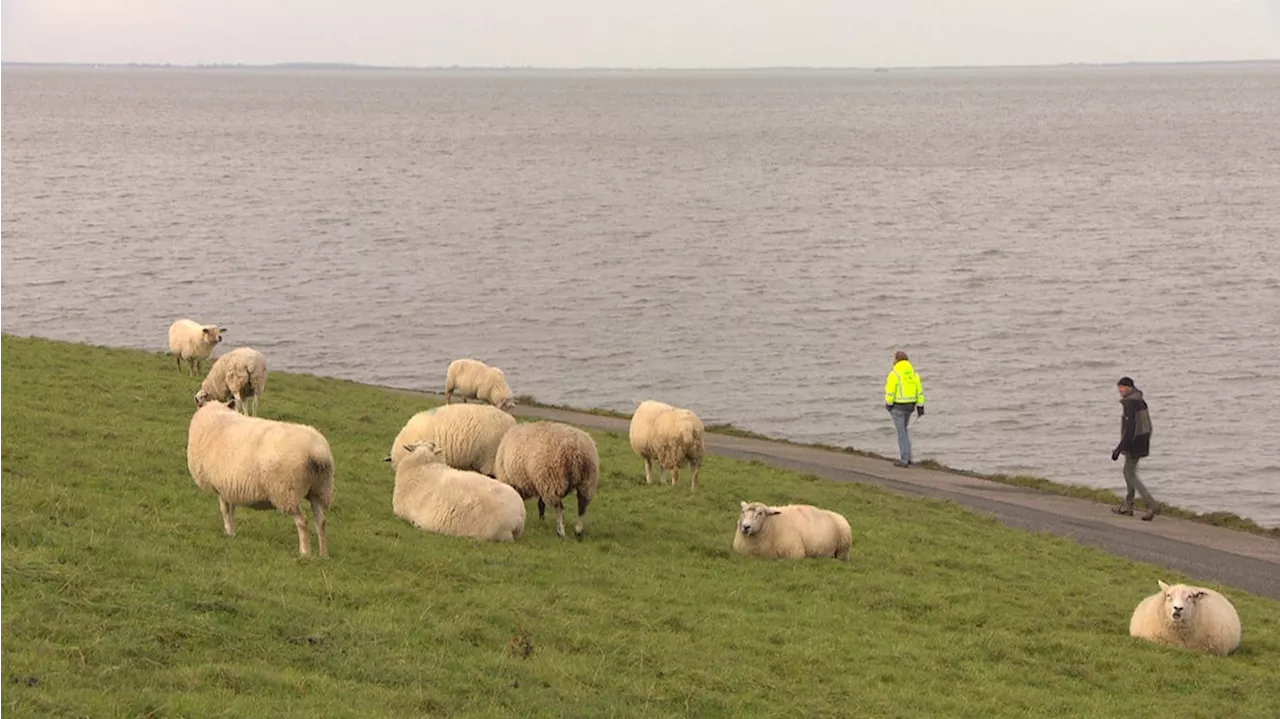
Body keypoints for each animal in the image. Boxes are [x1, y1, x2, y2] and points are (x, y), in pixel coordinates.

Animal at [186, 396, 335, 555]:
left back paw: (305, 552)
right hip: (319, 490)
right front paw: (233, 533)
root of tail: (317, 452)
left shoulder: (220, 486)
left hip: (287, 491)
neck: (216, 414)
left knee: (302, 521)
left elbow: (225, 511)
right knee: (321, 521)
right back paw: (323, 554)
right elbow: (232, 510)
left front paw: (228, 532)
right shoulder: (229, 485)